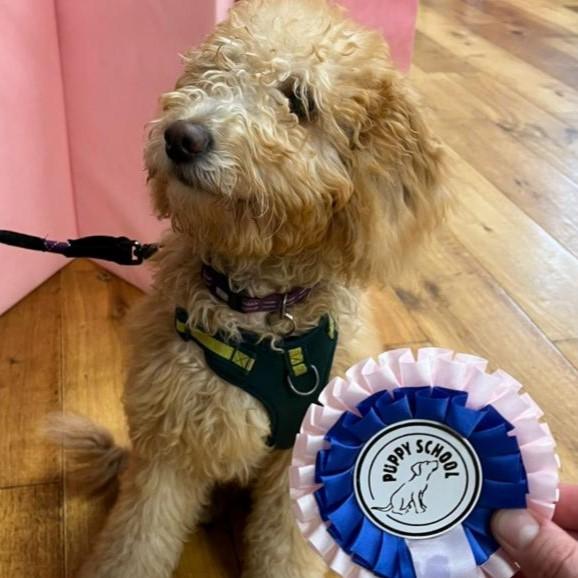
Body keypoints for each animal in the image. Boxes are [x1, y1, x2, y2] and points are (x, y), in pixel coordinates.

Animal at [46, 1, 446, 576]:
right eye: (211, 70)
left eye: (299, 100)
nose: (181, 137)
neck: (259, 307)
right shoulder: (169, 439)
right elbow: (138, 538)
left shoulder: (302, 459)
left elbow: (287, 550)